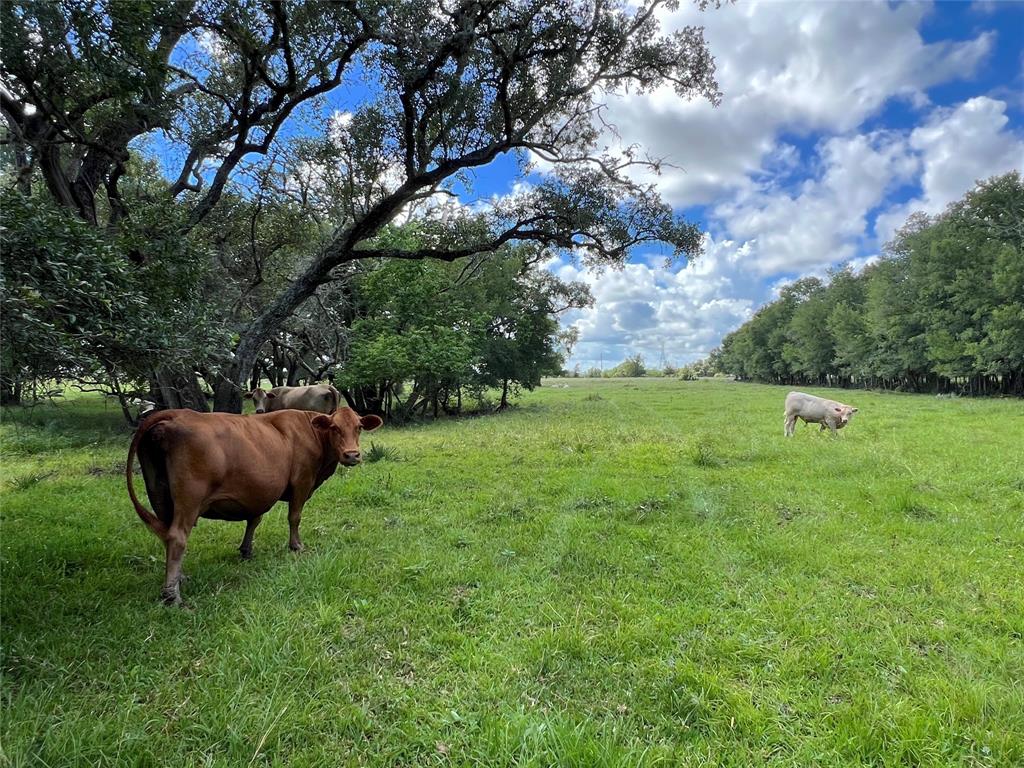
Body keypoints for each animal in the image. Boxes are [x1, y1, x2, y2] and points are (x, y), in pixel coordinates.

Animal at [126, 405, 382, 606]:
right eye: (334, 428)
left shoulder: (257, 492)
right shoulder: (302, 481)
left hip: (159, 494)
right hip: (189, 498)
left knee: (167, 537)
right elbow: (294, 517)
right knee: (177, 537)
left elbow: (254, 518)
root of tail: (176, 414)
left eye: (359, 427)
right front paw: (296, 546)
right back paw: (173, 595)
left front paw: (246, 549)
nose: (352, 455)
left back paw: (180, 578)